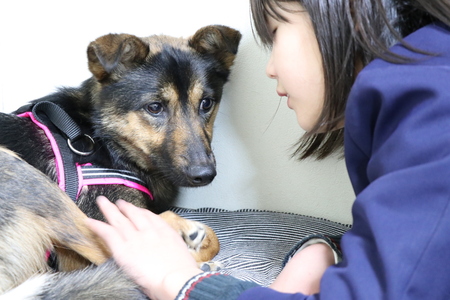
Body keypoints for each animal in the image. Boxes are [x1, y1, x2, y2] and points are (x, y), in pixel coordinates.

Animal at [0, 24, 243, 298]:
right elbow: (209, 237)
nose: (204, 174)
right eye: (155, 107)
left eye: (206, 103)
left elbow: (214, 240)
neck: (101, 138)